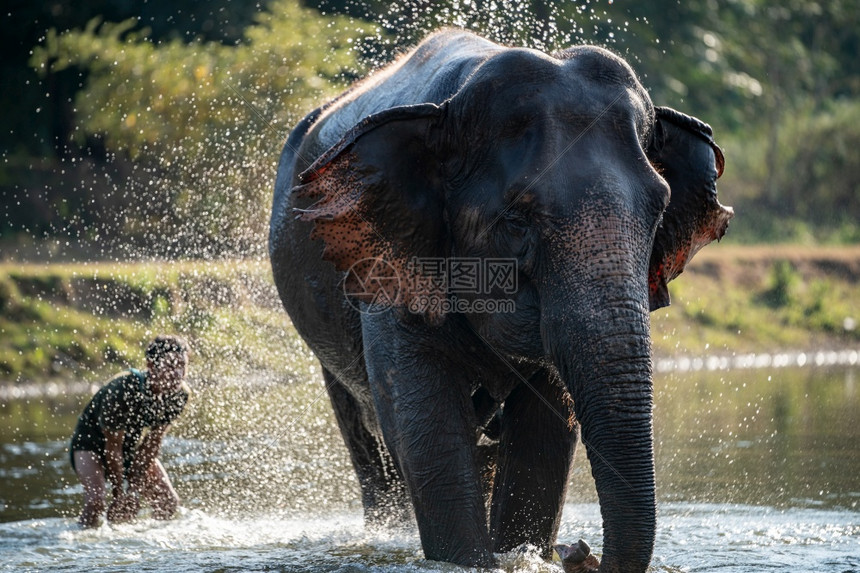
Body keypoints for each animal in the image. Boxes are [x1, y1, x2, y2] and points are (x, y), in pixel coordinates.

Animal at [268, 30, 732, 568]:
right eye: (515, 221)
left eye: (658, 212)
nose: (580, 552)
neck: (450, 108)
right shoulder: (391, 267)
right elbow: (428, 431)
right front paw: (475, 559)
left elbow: (545, 433)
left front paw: (522, 555)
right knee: (371, 444)